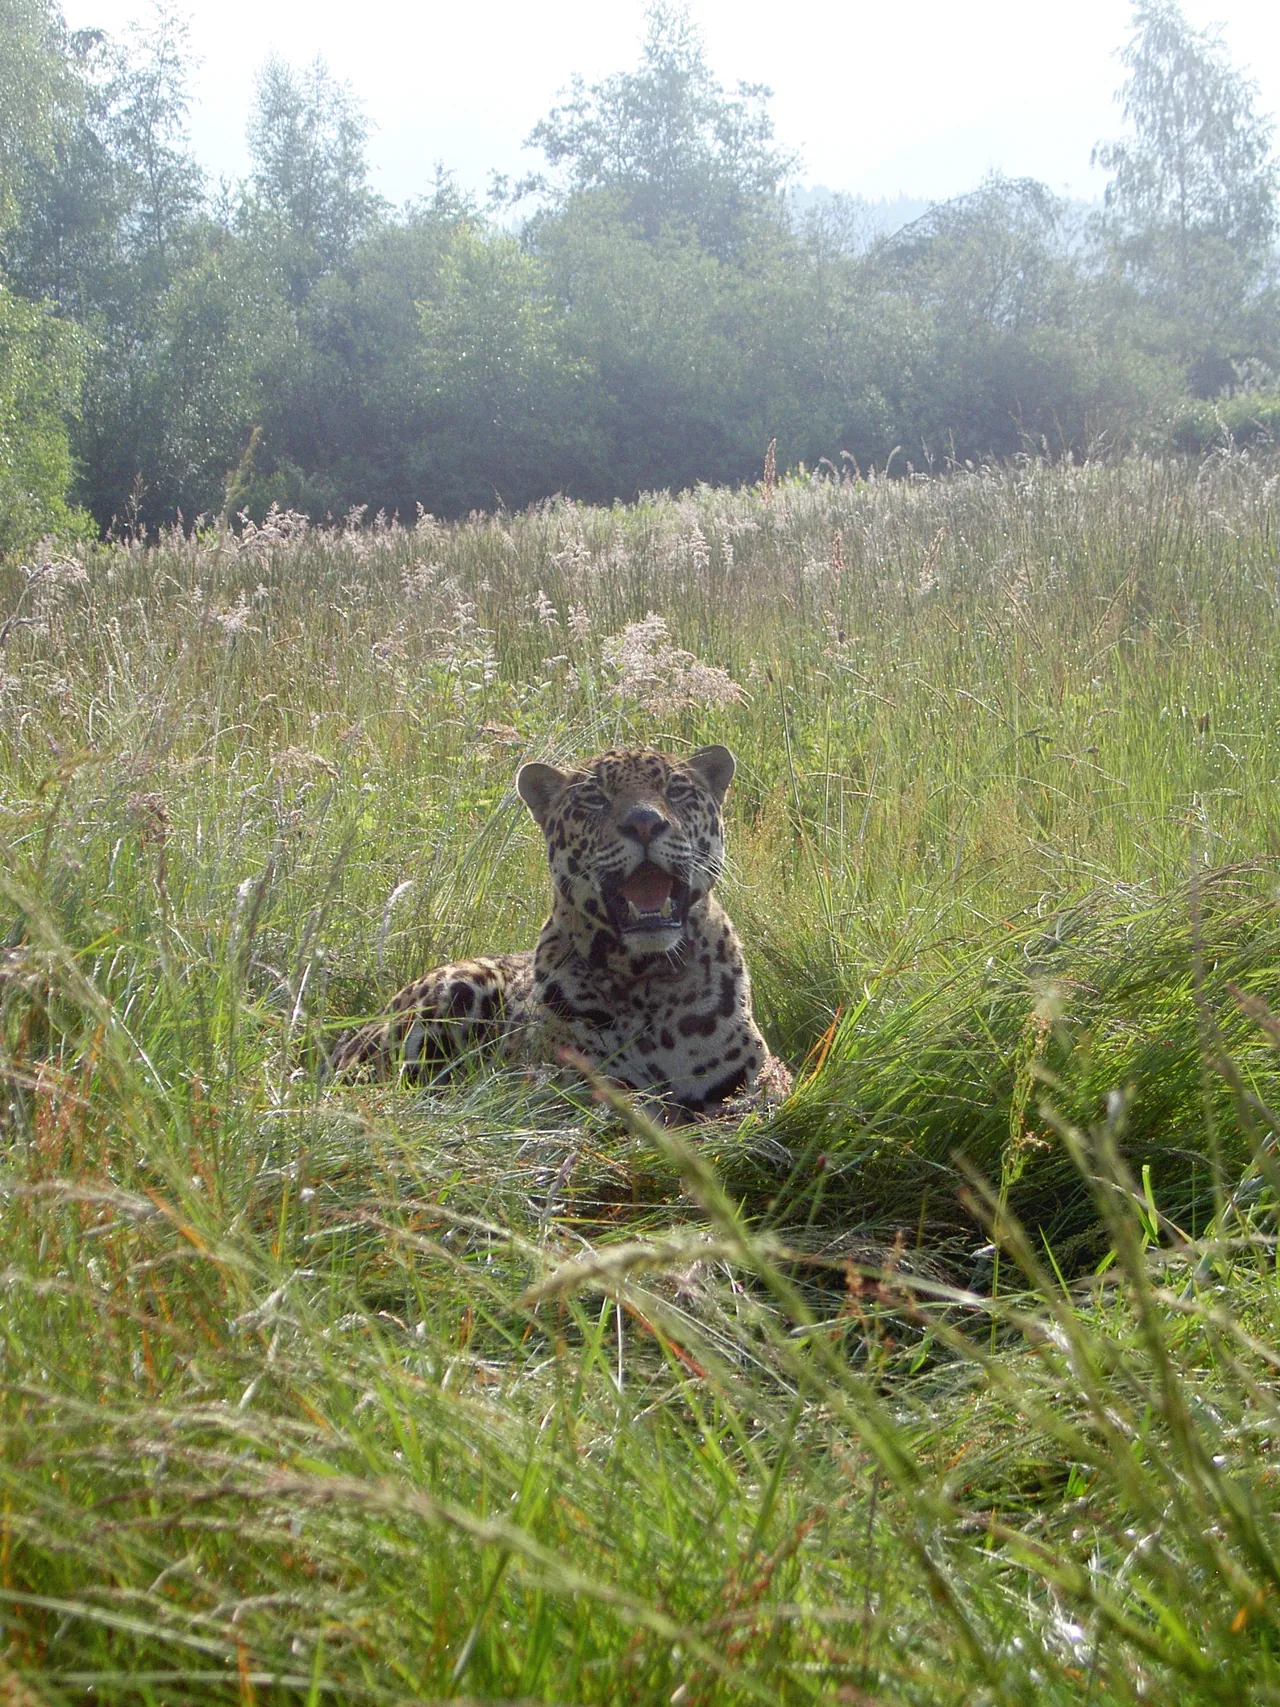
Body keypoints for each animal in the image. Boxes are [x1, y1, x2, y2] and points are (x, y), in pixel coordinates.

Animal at [330, 744, 791, 1116]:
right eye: (595, 799)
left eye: (676, 791)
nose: (644, 823)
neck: (648, 980)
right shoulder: (566, 1090)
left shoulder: (766, 1081)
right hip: (453, 991)